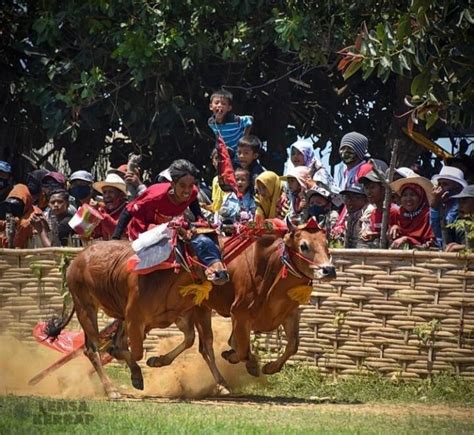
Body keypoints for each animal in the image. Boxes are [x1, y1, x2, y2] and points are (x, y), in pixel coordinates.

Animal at [49, 240, 231, 400]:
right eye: (201, 249)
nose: (222, 273)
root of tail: (77, 259)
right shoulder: (135, 318)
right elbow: (134, 352)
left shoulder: (180, 315)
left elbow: (190, 339)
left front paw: (155, 361)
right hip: (86, 309)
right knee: (92, 349)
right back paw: (111, 389)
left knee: (114, 342)